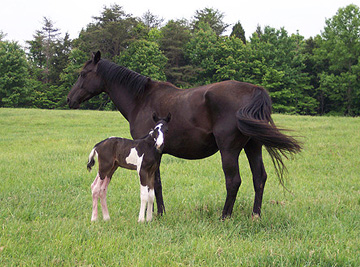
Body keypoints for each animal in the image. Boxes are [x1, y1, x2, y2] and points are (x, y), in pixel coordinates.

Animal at [67, 51, 300, 220]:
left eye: (83, 73)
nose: (70, 99)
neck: (141, 98)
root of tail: (254, 90)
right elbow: (155, 184)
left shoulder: (152, 152)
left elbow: (156, 184)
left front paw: (158, 214)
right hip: (253, 147)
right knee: (259, 178)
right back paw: (255, 216)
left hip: (229, 150)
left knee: (233, 181)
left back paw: (225, 216)